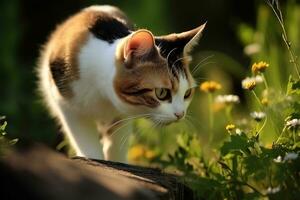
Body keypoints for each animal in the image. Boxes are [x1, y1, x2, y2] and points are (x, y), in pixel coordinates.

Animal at [38, 4, 205, 162]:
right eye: (162, 93)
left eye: (187, 93)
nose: (180, 114)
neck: (103, 95)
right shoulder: (67, 106)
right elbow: (85, 139)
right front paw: (94, 158)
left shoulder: (122, 115)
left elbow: (117, 144)